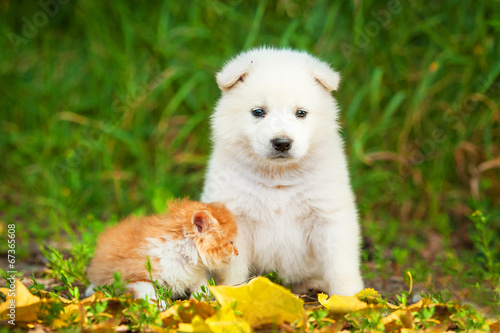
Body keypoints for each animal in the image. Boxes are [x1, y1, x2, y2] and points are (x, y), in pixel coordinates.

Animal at [86, 198, 238, 302]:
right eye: (230, 242)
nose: (237, 253)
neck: (182, 256)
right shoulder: (135, 278)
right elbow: (151, 295)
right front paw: (161, 310)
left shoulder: (194, 275)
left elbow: (203, 289)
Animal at [200, 46, 364, 296]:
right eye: (258, 112)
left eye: (301, 113)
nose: (282, 143)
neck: (278, 176)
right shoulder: (236, 219)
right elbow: (233, 269)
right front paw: (233, 293)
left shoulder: (329, 216)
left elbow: (341, 266)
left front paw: (349, 298)